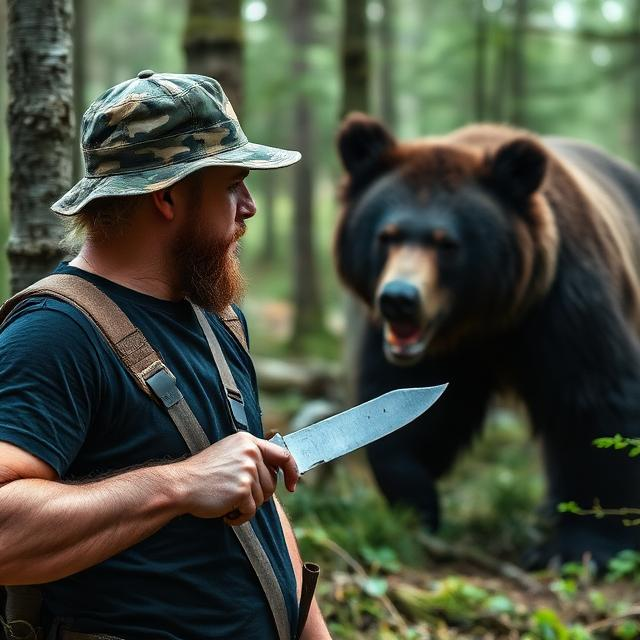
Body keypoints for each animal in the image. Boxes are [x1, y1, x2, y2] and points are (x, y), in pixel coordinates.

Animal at [334, 113, 640, 568]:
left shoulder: (565, 300)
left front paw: (579, 545)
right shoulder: (430, 351)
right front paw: (417, 503)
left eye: (446, 243)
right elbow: (409, 410)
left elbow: (594, 398)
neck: (485, 318)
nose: (399, 299)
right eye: (386, 235)